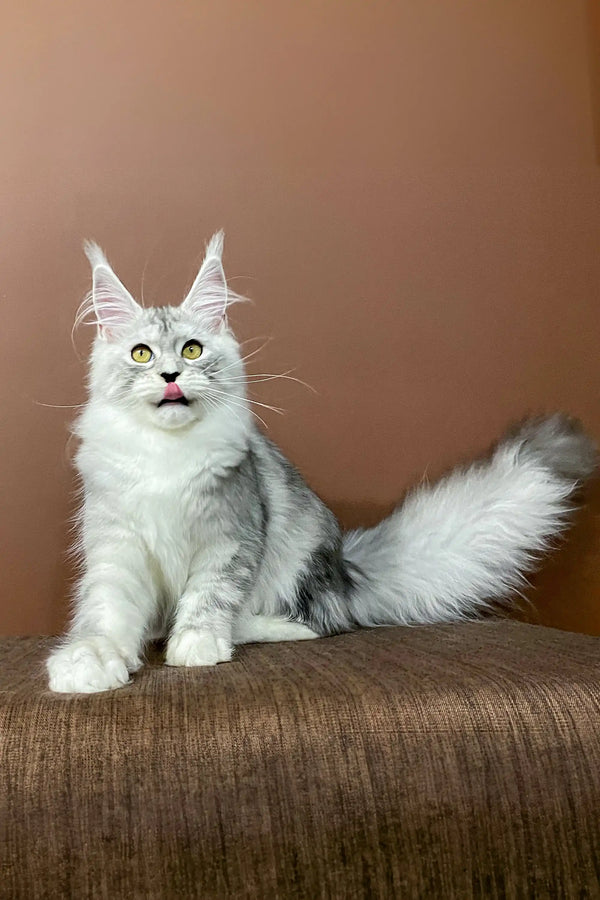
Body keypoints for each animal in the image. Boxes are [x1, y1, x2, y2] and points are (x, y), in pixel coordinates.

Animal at [45, 234, 596, 696]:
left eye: (193, 349)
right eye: (141, 354)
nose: (170, 375)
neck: (166, 453)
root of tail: (345, 569)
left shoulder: (231, 537)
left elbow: (209, 595)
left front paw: (195, 644)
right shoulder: (117, 548)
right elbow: (105, 614)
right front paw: (87, 664)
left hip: (301, 548)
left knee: (320, 622)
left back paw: (246, 629)